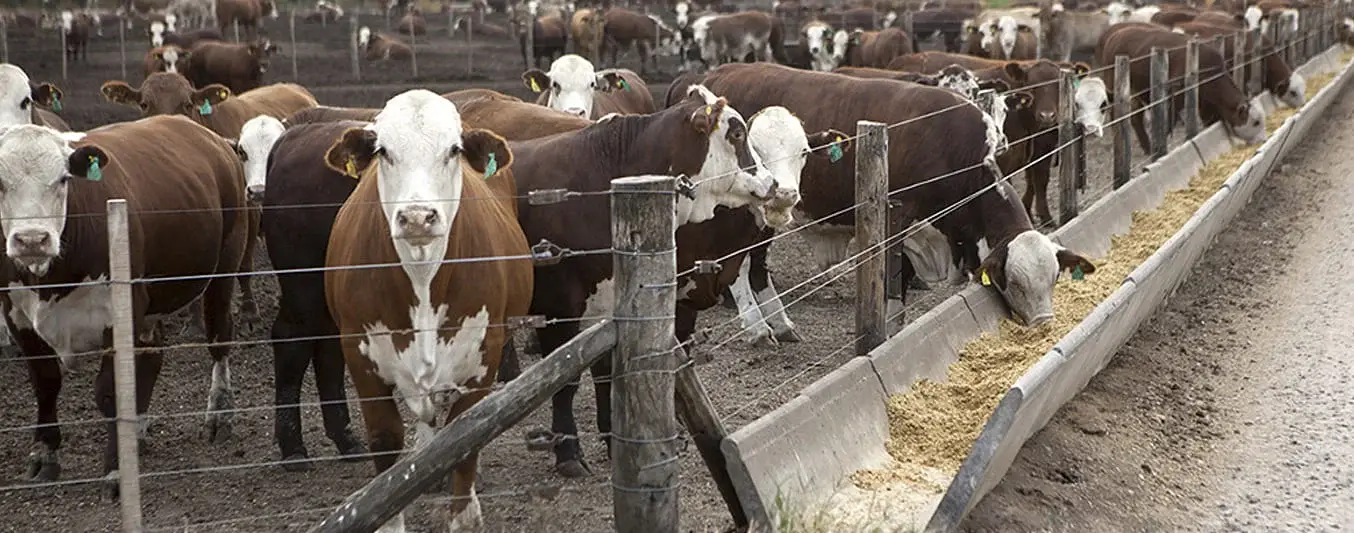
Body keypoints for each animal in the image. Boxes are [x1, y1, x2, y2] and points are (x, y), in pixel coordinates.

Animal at [0, 113, 251, 487]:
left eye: (63, 179)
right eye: (0, 183)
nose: (32, 240)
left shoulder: (120, 311)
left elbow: (110, 391)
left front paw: (117, 470)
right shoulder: (17, 316)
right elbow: (45, 384)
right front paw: (45, 455)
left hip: (224, 268)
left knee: (219, 339)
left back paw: (219, 416)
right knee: (152, 355)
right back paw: (139, 432)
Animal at [1094, 22, 1261, 152]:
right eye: (1255, 122)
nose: (1261, 139)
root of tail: (1116, 35)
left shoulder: (1205, 103)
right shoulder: (1175, 96)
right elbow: (1169, 122)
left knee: (1136, 118)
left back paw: (1147, 147)